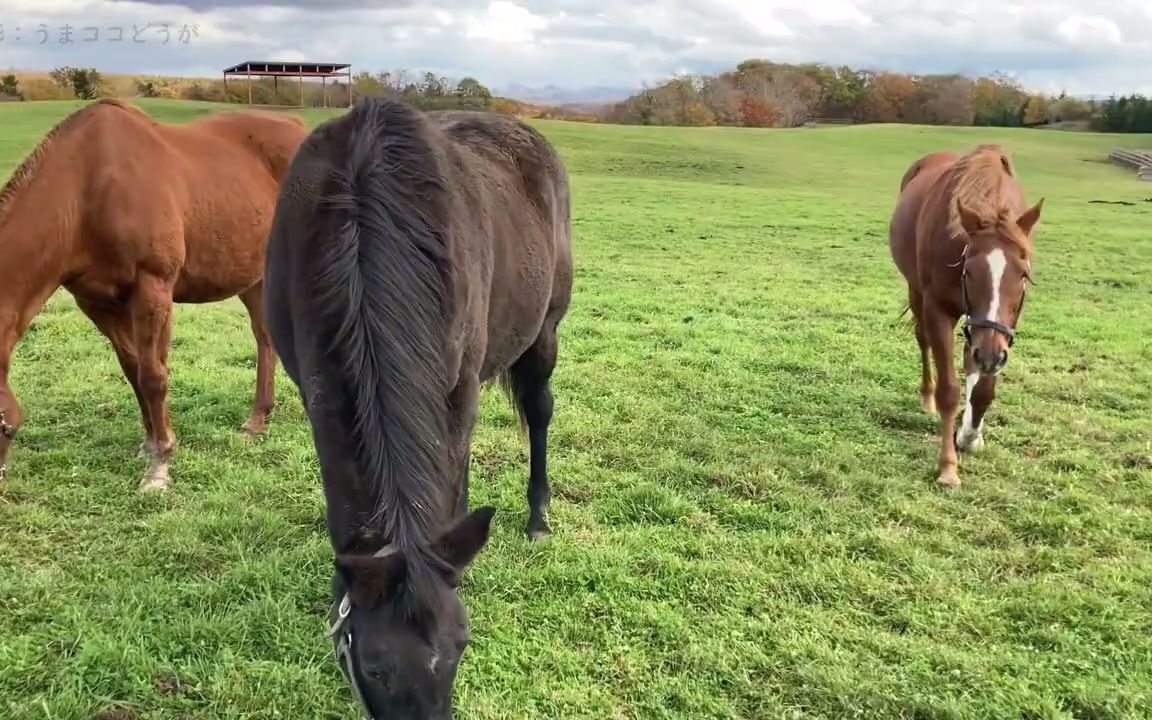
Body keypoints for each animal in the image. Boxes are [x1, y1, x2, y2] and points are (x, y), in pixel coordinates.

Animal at [0, 96, 311, 488]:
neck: (86, 192)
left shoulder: (153, 289)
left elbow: (153, 376)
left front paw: (160, 464)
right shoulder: (98, 303)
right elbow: (133, 369)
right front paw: (149, 445)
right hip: (255, 277)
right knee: (265, 337)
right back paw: (257, 420)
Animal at [259, 96, 569, 718]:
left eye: (462, 646)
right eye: (375, 667)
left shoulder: (460, 387)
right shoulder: (313, 385)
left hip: (545, 331)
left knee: (540, 414)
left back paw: (539, 518)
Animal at [889, 142, 1046, 486]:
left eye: (1024, 274)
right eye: (969, 270)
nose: (989, 354)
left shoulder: (998, 332)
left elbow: (984, 389)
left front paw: (970, 436)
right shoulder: (938, 309)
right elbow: (949, 390)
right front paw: (948, 467)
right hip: (916, 291)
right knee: (923, 340)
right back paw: (927, 397)